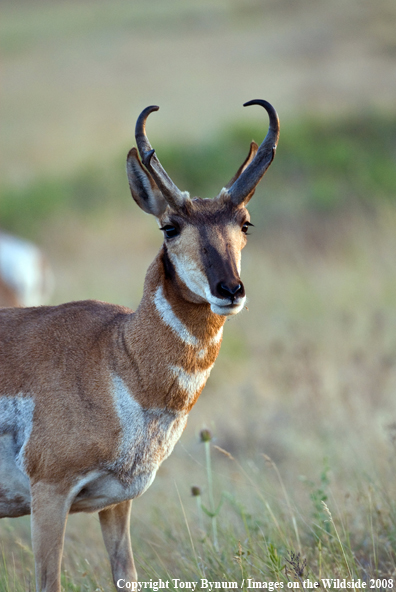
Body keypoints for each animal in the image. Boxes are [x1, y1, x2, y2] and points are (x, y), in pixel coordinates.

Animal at [0, 99, 278, 588]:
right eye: (170, 226)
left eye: (245, 223)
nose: (230, 290)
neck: (116, 354)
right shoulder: (49, 493)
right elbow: (49, 580)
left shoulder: (117, 501)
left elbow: (125, 574)